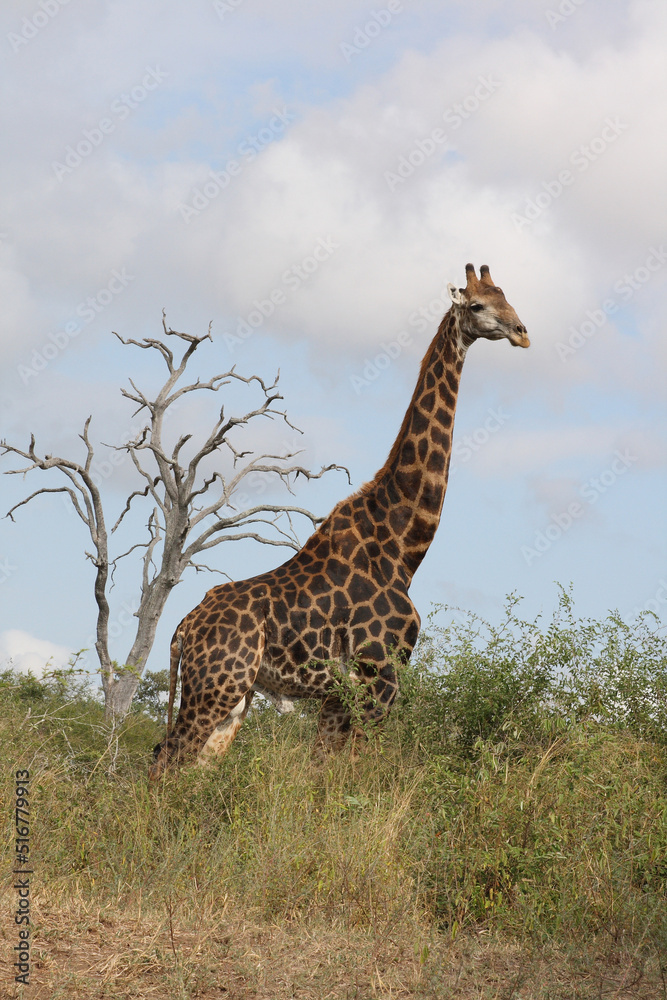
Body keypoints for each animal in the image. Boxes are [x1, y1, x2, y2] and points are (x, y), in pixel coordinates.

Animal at [148, 264, 529, 778]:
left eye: (508, 298)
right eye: (477, 305)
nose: (522, 332)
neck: (404, 547)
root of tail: (184, 627)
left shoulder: (338, 695)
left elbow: (322, 775)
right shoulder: (379, 678)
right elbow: (355, 774)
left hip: (233, 698)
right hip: (218, 684)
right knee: (164, 762)